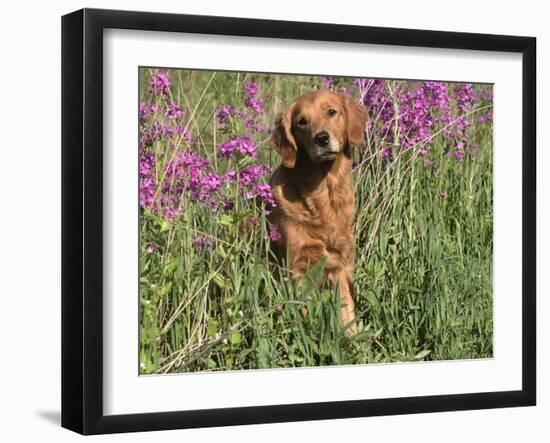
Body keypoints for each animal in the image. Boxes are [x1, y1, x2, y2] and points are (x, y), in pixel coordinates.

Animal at [270, 90, 368, 332]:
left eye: (332, 112)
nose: (321, 138)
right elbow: (304, 309)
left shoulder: (339, 266)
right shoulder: (298, 268)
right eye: (302, 121)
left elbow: (346, 311)